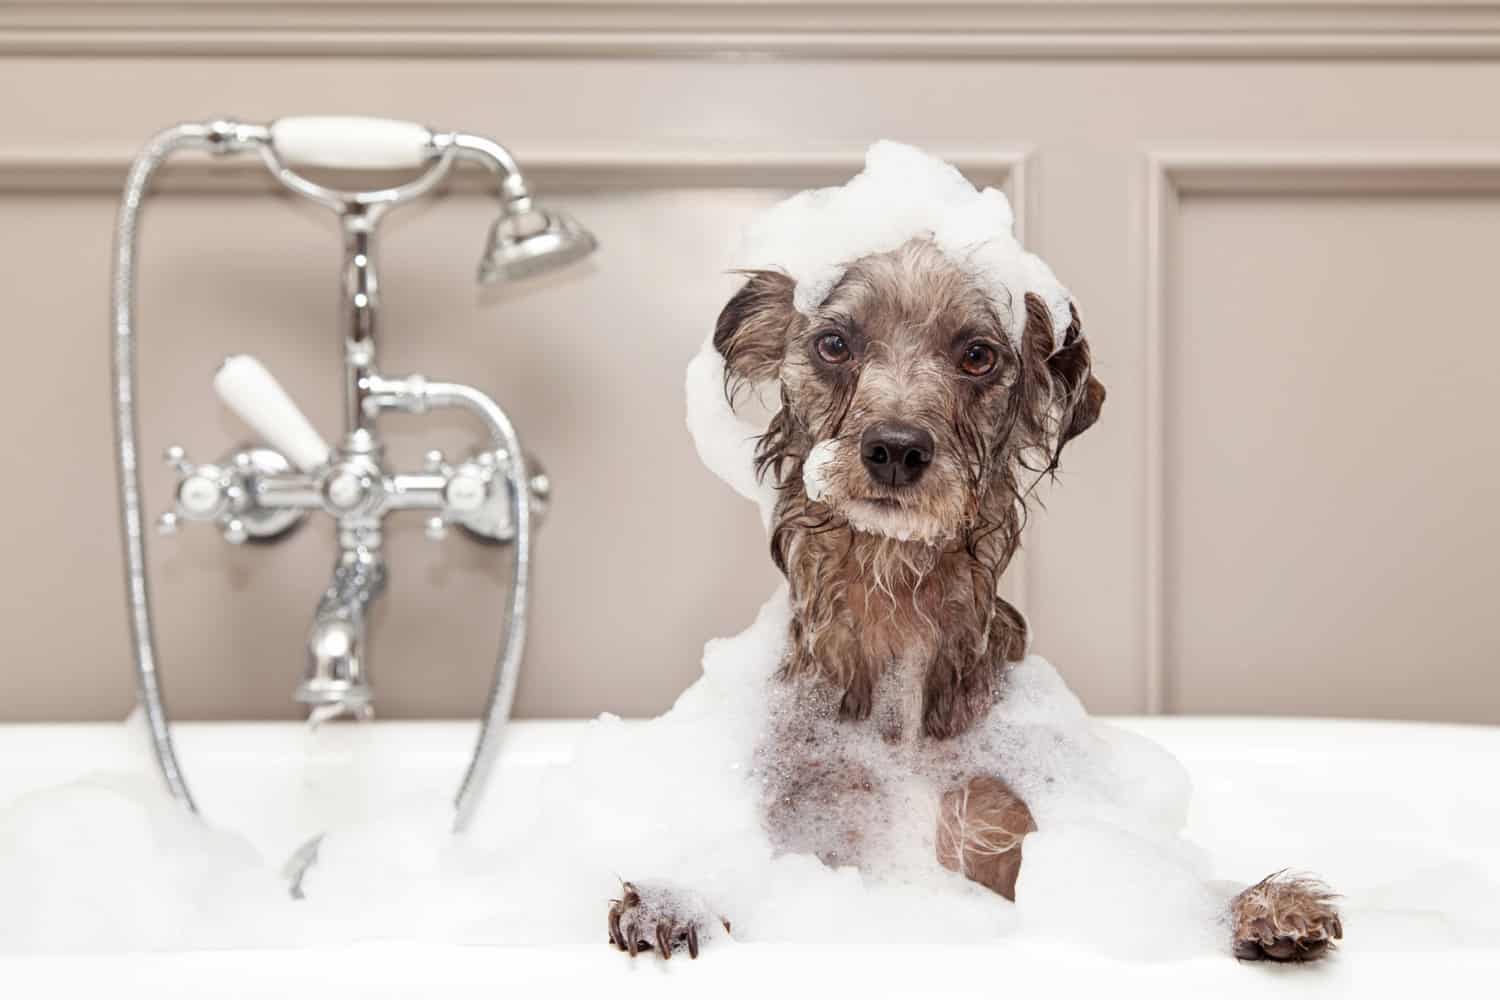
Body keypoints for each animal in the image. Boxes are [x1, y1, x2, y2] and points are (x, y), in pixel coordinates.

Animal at [609, 235, 1350, 959]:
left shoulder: (1005, 828)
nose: (896, 449)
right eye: (834, 343)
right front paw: (679, 899)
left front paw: (1254, 905)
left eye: (977, 354)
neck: (895, 611)